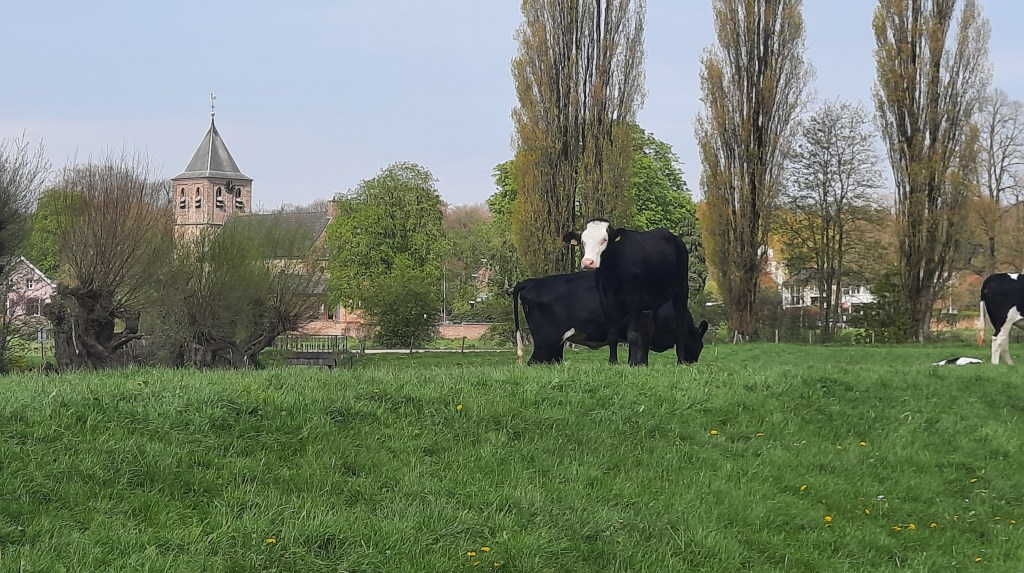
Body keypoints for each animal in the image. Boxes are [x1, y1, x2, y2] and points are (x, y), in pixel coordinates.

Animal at [512, 270, 709, 365]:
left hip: (555, 345)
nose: (692, 362)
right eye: (700, 345)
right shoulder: (643, 331)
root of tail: (532, 282)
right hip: (546, 341)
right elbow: (641, 355)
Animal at [562, 219, 692, 366]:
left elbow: (633, 334)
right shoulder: (606, 300)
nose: (588, 262)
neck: (612, 274)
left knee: (680, 326)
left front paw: (633, 363)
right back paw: (644, 363)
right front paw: (613, 361)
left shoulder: (636, 299)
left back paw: (681, 361)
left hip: (681, 289)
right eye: (583, 241)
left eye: (604, 240)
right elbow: (613, 333)